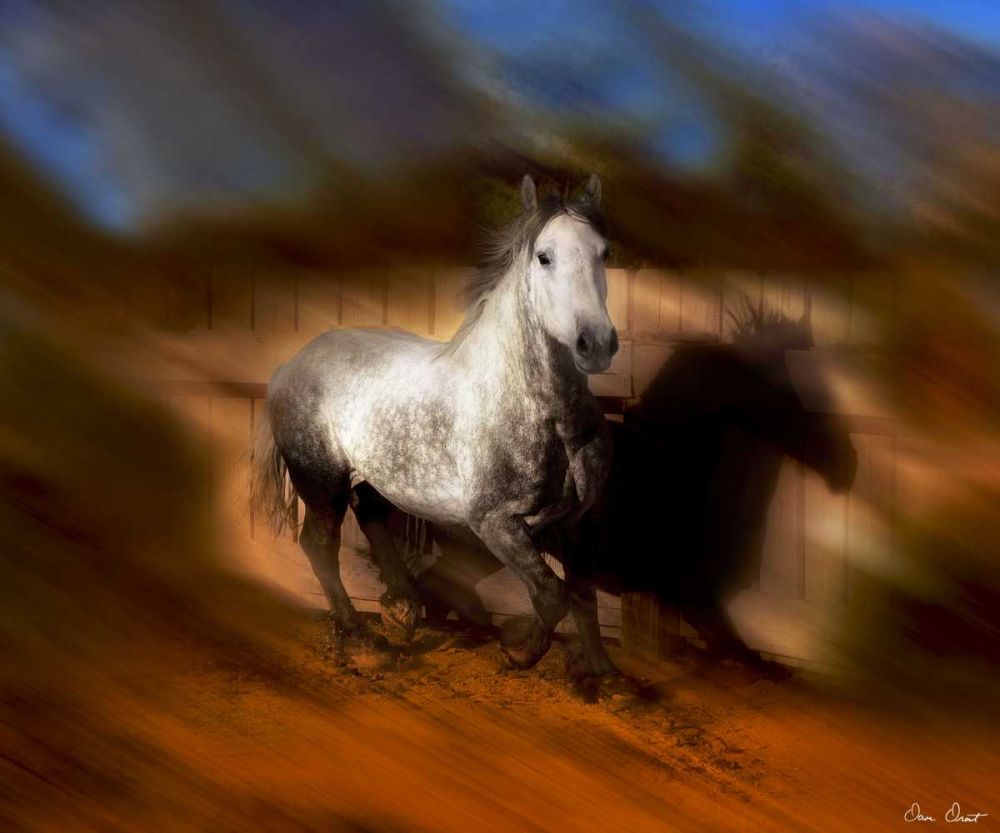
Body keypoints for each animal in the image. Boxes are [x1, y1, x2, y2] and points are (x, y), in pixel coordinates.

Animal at [250, 174, 620, 676]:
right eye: (544, 257)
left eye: (604, 253)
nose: (596, 344)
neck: (551, 418)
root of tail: (290, 363)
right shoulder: (496, 524)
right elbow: (552, 596)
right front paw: (518, 650)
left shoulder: (579, 523)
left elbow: (584, 600)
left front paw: (605, 676)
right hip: (320, 480)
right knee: (319, 546)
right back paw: (363, 640)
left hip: (374, 477)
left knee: (372, 519)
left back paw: (403, 609)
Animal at [416, 295, 857, 671]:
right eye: (781, 390)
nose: (845, 466)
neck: (663, 463)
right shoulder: (679, 588)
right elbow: (740, 654)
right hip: (482, 545)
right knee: (436, 586)